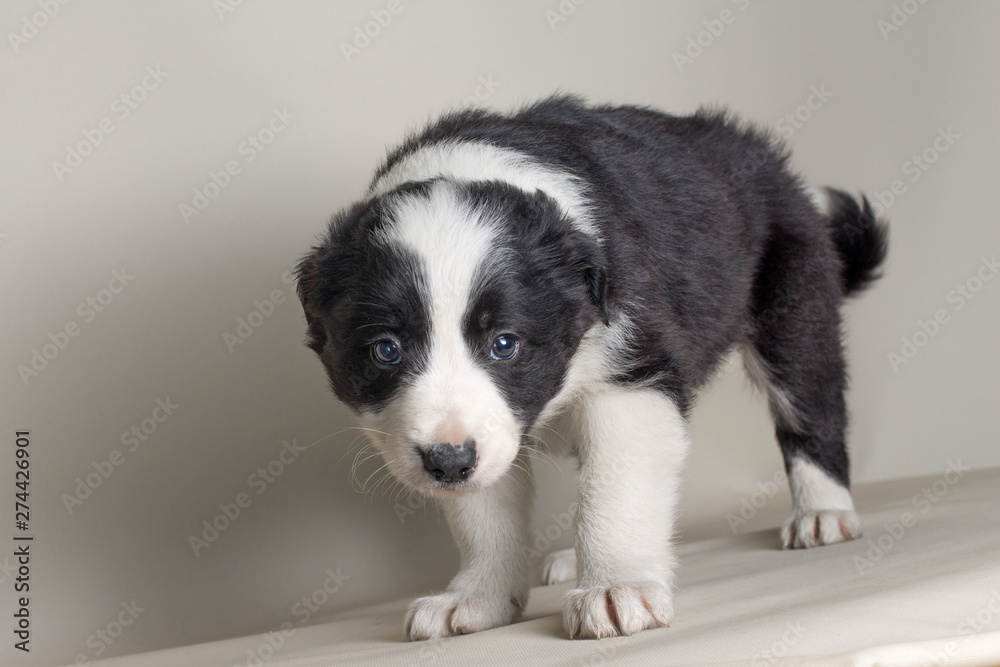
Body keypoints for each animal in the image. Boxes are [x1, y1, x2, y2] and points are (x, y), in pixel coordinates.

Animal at [292, 98, 888, 640]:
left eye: (504, 345)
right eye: (385, 351)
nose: (447, 462)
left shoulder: (633, 377)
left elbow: (613, 485)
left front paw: (616, 589)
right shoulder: (484, 430)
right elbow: (484, 509)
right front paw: (479, 599)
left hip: (793, 298)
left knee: (810, 400)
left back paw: (823, 512)